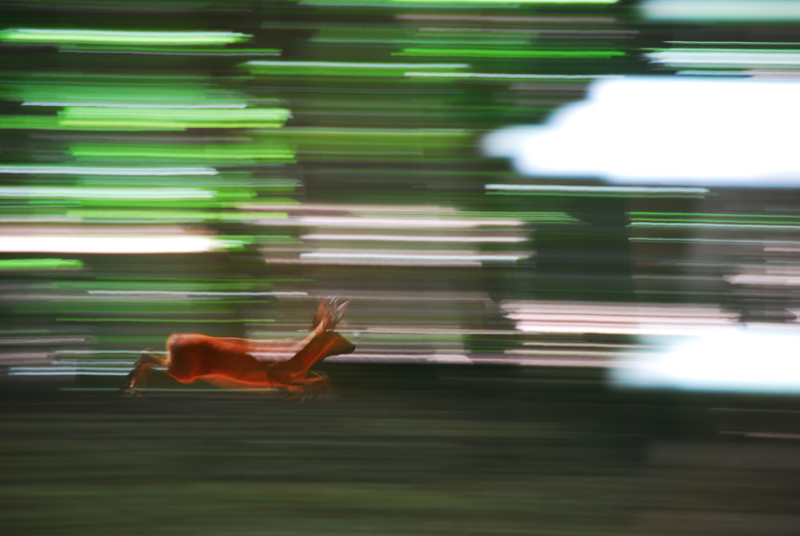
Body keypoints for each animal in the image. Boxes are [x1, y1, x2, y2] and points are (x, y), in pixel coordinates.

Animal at [121, 300, 355, 399]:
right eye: (338, 336)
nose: (353, 346)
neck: (301, 359)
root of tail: (173, 338)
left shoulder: (295, 374)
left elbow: (322, 375)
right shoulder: (274, 372)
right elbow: (311, 380)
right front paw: (303, 394)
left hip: (179, 364)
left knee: (147, 352)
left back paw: (132, 383)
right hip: (185, 371)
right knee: (148, 357)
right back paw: (134, 385)